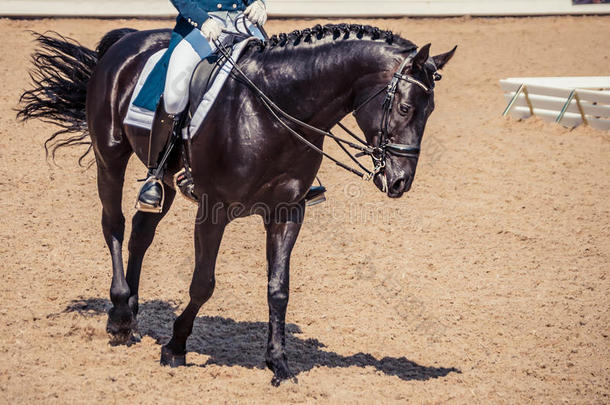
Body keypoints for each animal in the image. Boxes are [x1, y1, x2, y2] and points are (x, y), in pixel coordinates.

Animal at [19, 24, 454, 386]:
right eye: (404, 107)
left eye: (430, 110)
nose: (399, 182)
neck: (276, 110)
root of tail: (127, 40)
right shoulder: (213, 210)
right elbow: (203, 283)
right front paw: (175, 346)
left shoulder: (287, 213)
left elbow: (279, 289)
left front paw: (278, 363)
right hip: (109, 157)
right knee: (114, 224)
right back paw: (121, 316)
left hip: (163, 179)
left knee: (141, 233)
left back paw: (130, 310)